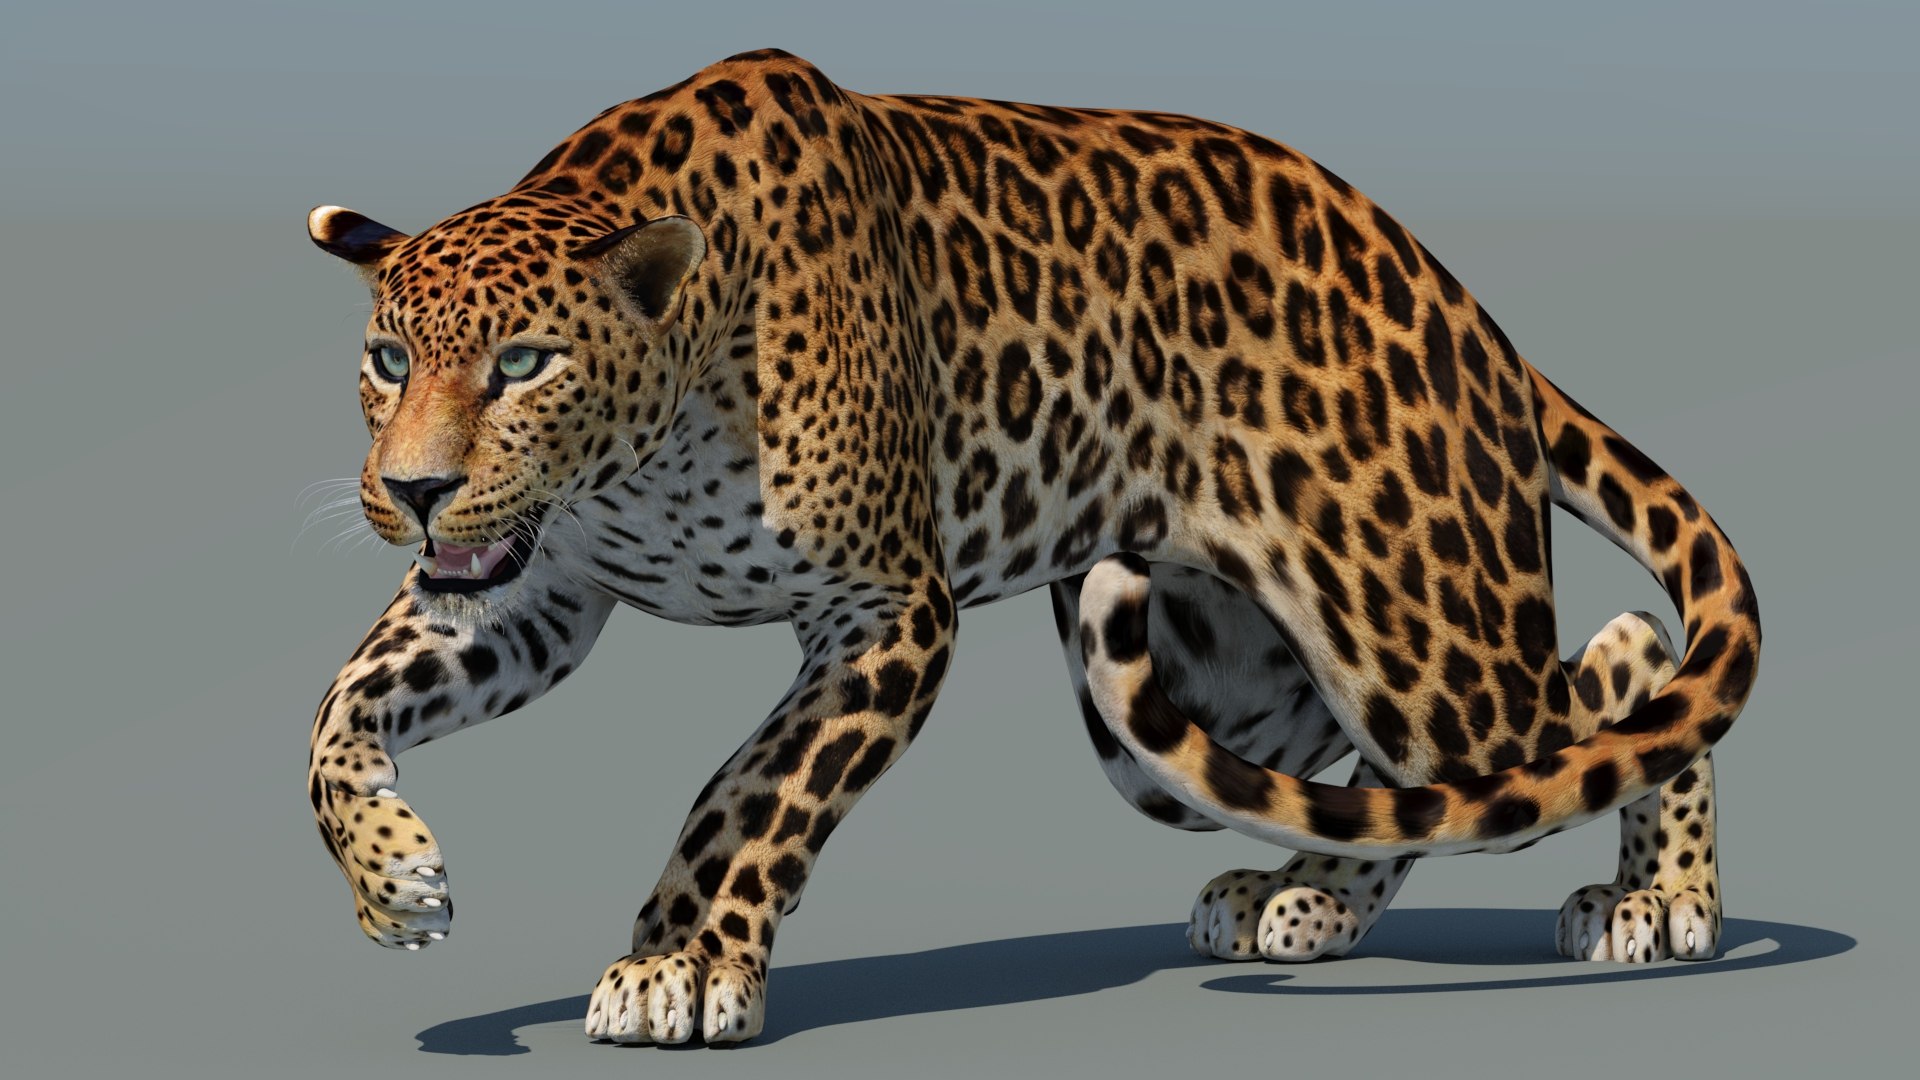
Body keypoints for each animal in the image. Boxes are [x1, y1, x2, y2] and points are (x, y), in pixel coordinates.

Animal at [301, 48, 1759, 1045]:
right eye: (386, 360)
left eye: (523, 364)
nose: (412, 491)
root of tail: (1468, 307)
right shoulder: (530, 595)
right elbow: (334, 722)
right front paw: (397, 886)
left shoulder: (891, 612)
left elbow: (758, 792)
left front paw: (692, 960)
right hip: (1215, 699)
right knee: (1407, 775)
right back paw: (1311, 899)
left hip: (1424, 645)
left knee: (1616, 670)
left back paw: (1660, 906)